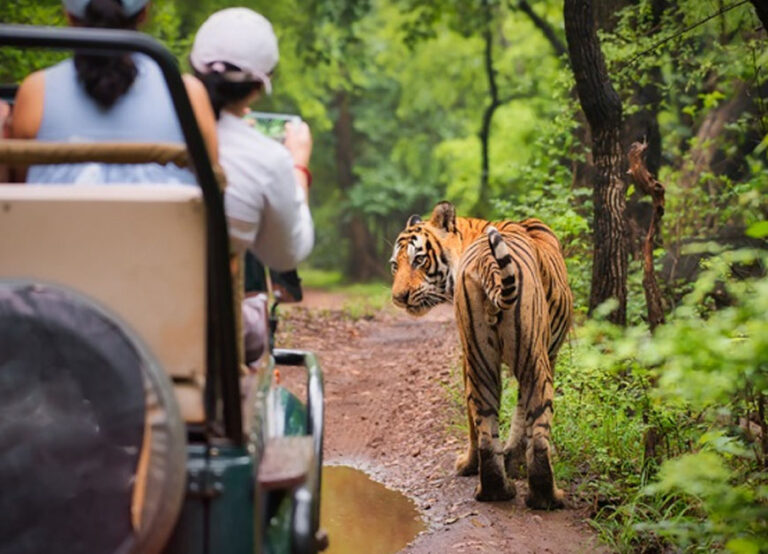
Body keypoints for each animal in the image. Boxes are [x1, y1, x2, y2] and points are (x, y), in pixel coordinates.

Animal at [390, 201, 573, 509]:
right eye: (395, 265)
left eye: (419, 260)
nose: (398, 298)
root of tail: (489, 261)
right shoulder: (550, 353)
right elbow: (522, 415)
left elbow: (495, 413)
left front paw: (496, 462)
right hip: (533, 361)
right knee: (538, 433)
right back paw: (545, 497)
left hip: (481, 360)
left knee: (485, 426)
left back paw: (495, 489)